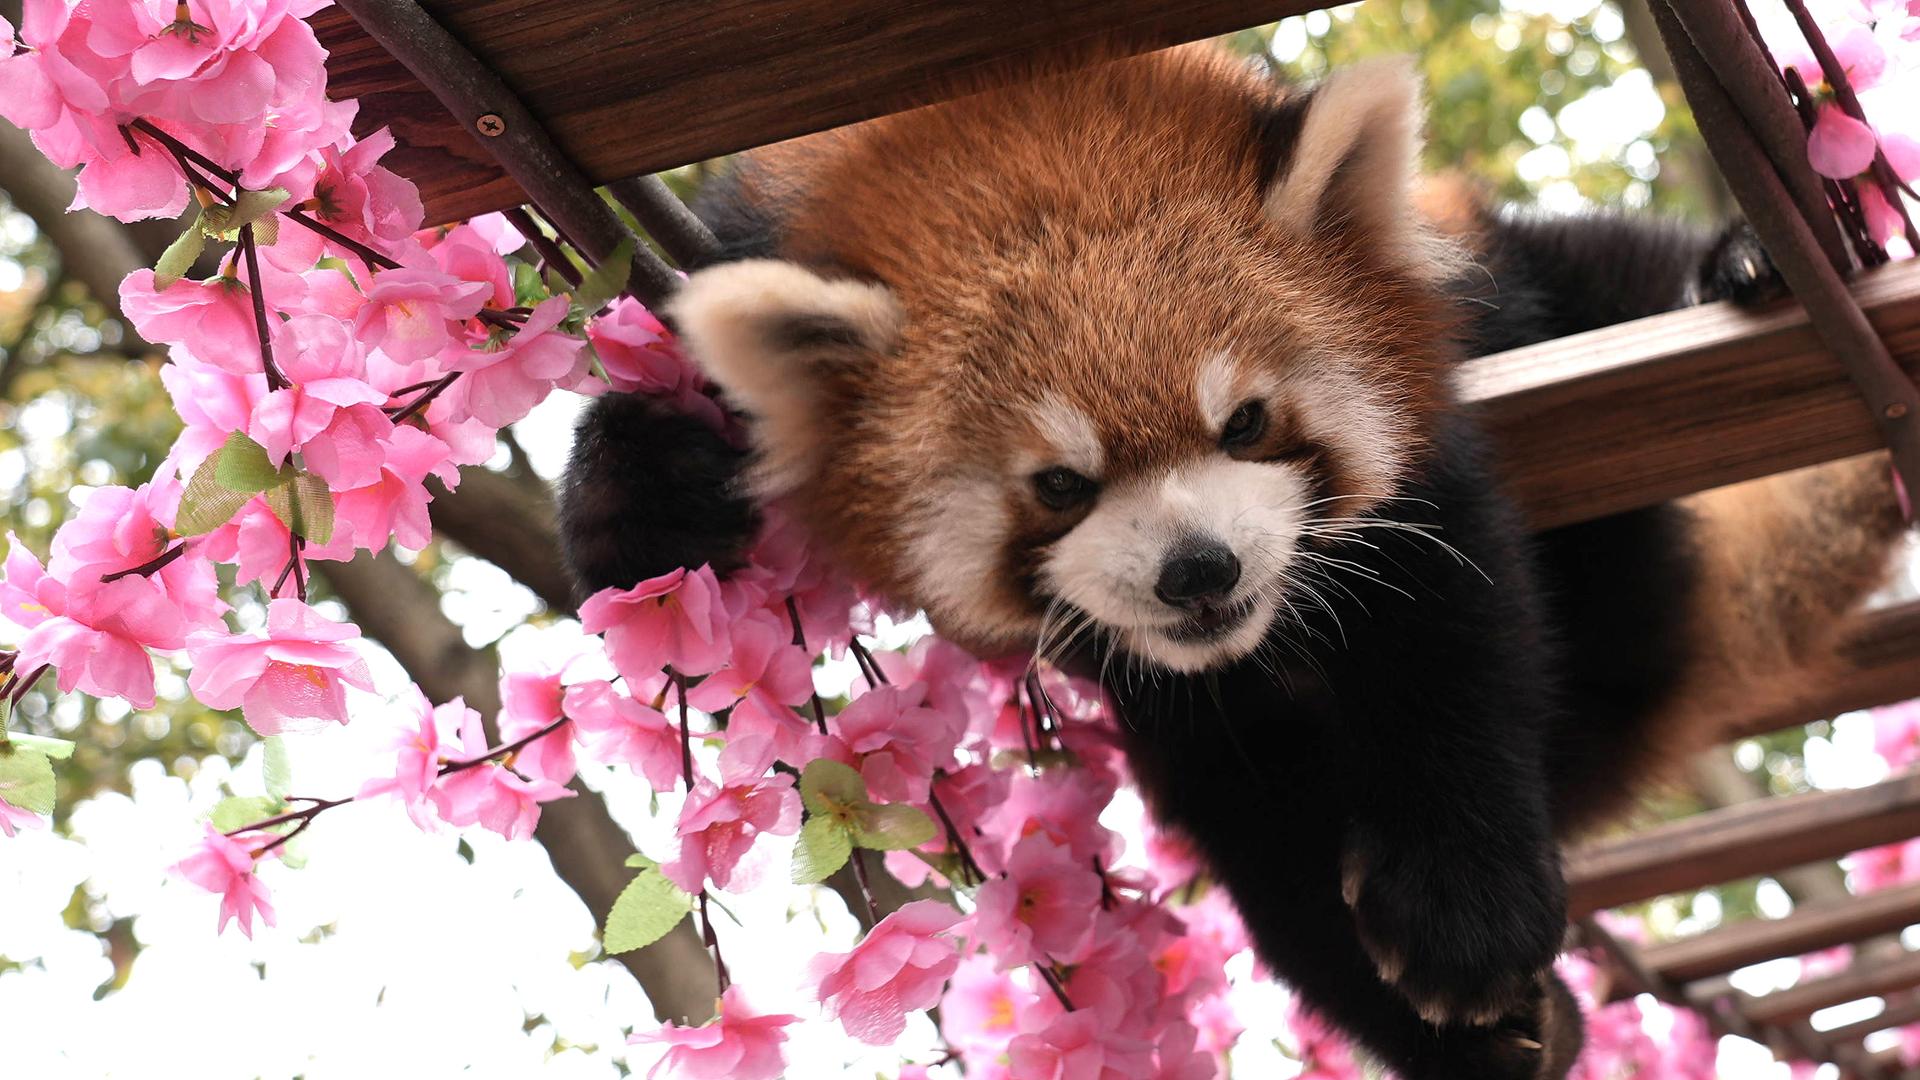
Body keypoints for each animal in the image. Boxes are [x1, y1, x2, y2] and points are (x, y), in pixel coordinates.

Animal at [558, 45, 1905, 1079]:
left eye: (1247, 421)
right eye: (1061, 484)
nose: (1197, 572)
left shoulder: (1417, 402)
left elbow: (1449, 630)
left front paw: (1463, 906)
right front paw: (639, 494)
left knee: (1604, 269)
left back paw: (1742, 263)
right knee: (1257, 834)